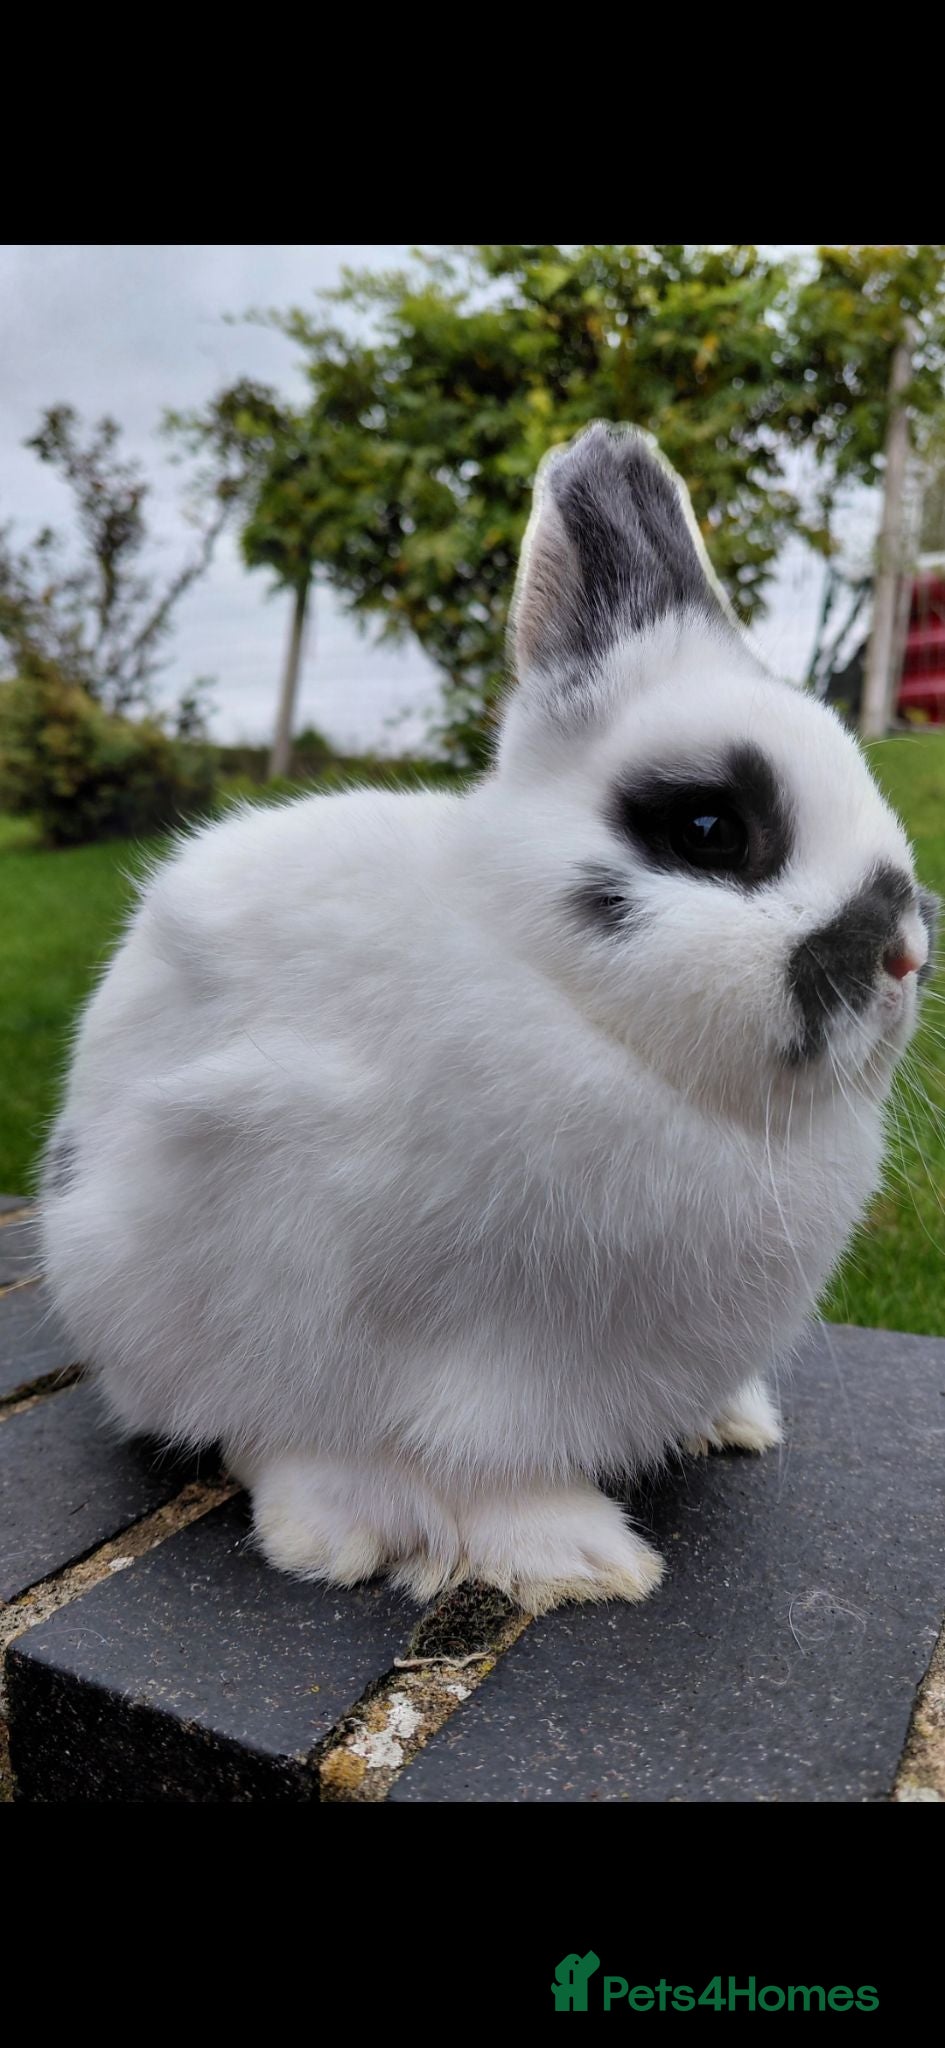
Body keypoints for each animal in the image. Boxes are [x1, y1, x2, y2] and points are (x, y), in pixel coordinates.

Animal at [40, 422, 937, 1615]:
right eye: (708, 828)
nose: (904, 953)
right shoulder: (435, 1344)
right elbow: (467, 1466)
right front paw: (577, 1558)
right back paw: (342, 1527)